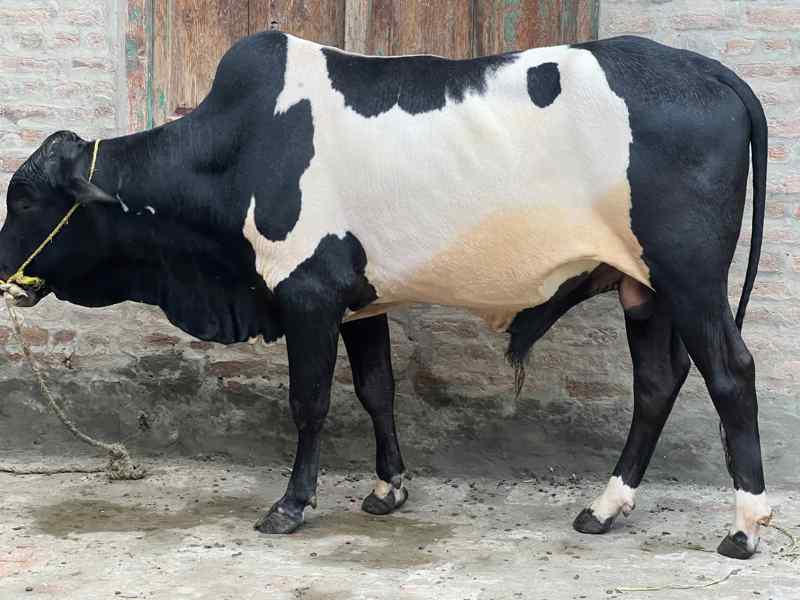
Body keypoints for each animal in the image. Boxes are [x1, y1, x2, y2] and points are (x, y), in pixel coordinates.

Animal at [0, 31, 769, 560]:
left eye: (25, 197)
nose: (4, 271)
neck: (240, 146)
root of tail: (705, 67)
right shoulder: (359, 301)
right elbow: (377, 390)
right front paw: (387, 489)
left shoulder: (308, 294)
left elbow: (309, 403)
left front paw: (291, 505)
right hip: (643, 289)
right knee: (656, 383)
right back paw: (605, 508)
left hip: (690, 280)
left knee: (731, 374)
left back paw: (745, 526)